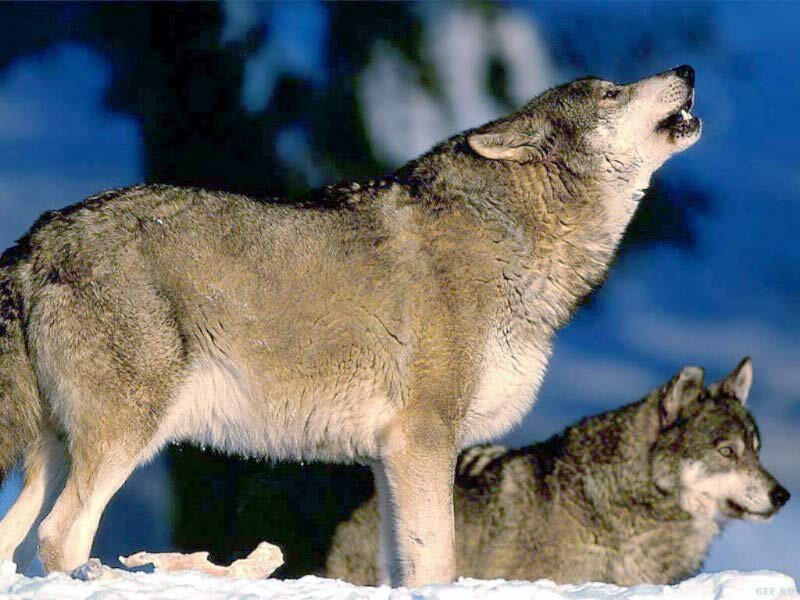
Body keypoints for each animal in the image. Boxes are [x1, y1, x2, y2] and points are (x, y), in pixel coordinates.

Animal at [0, 66, 700, 585]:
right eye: (611, 91)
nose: (688, 71)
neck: (515, 239)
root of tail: (37, 239)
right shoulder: (425, 438)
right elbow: (439, 562)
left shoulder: (390, 457)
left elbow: (401, 564)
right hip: (124, 440)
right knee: (58, 538)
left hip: (56, 452)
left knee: (17, 539)